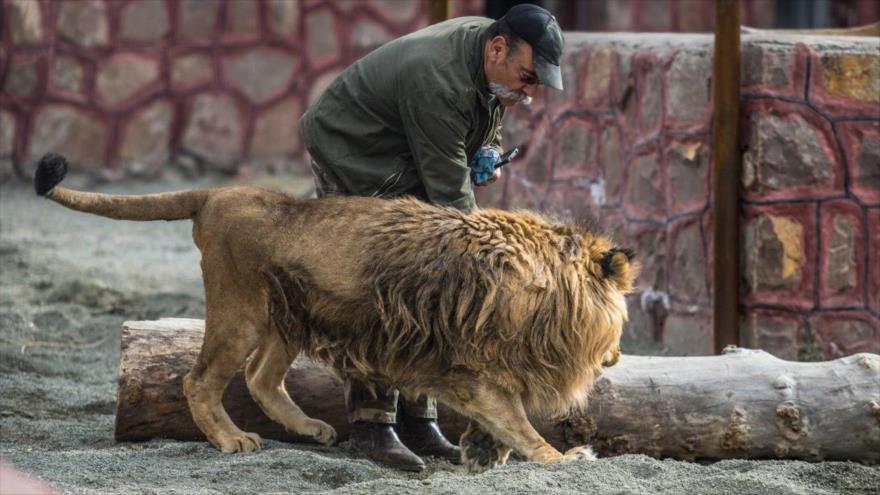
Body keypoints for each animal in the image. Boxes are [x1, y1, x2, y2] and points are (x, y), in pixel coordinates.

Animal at [34, 153, 637, 472]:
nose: (617, 356)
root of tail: (218, 193)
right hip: (239, 307)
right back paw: (231, 440)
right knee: (200, 380)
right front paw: (566, 458)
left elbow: (502, 425)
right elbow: (520, 424)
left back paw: (312, 429)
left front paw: (480, 454)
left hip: (289, 316)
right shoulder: (476, 371)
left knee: (260, 377)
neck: (550, 291)